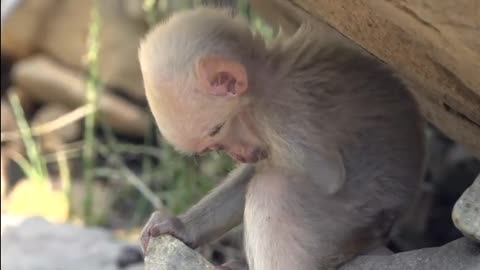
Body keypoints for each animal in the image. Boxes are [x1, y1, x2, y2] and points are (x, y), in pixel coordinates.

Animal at [138, 7, 424, 268]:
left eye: (217, 129)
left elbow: (325, 175)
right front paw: (180, 226)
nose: (237, 154)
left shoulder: (279, 116)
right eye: (212, 145)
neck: (267, 78)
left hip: (356, 220)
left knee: (273, 188)